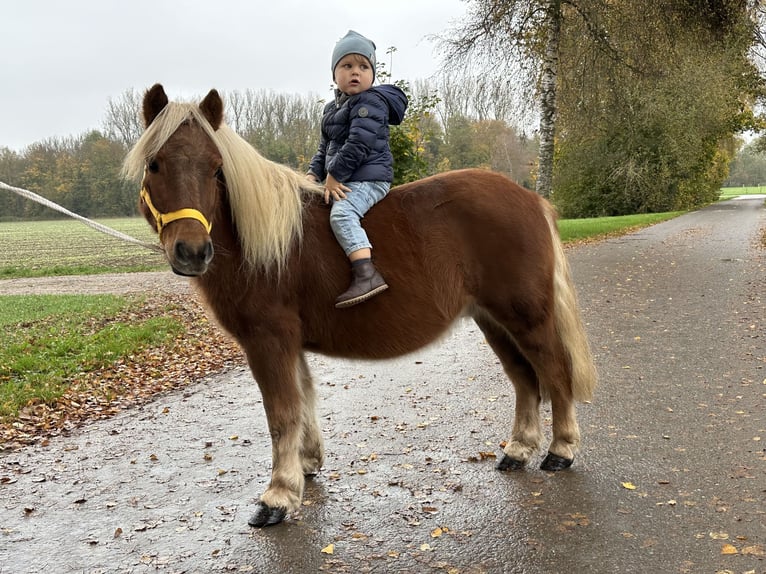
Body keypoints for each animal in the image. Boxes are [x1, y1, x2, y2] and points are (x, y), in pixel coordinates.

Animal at [121, 83, 600, 528]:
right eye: (154, 164)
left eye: (216, 168)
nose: (192, 252)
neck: (260, 242)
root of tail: (531, 199)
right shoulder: (289, 343)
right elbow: (303, 402)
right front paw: (306, 467)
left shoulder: (268, 340)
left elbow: (281, 414)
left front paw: (278, 497)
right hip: (493, 321)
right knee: (524, 380)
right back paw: (518, 450)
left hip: (527, 317)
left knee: (555, 373)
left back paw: (560, 450)